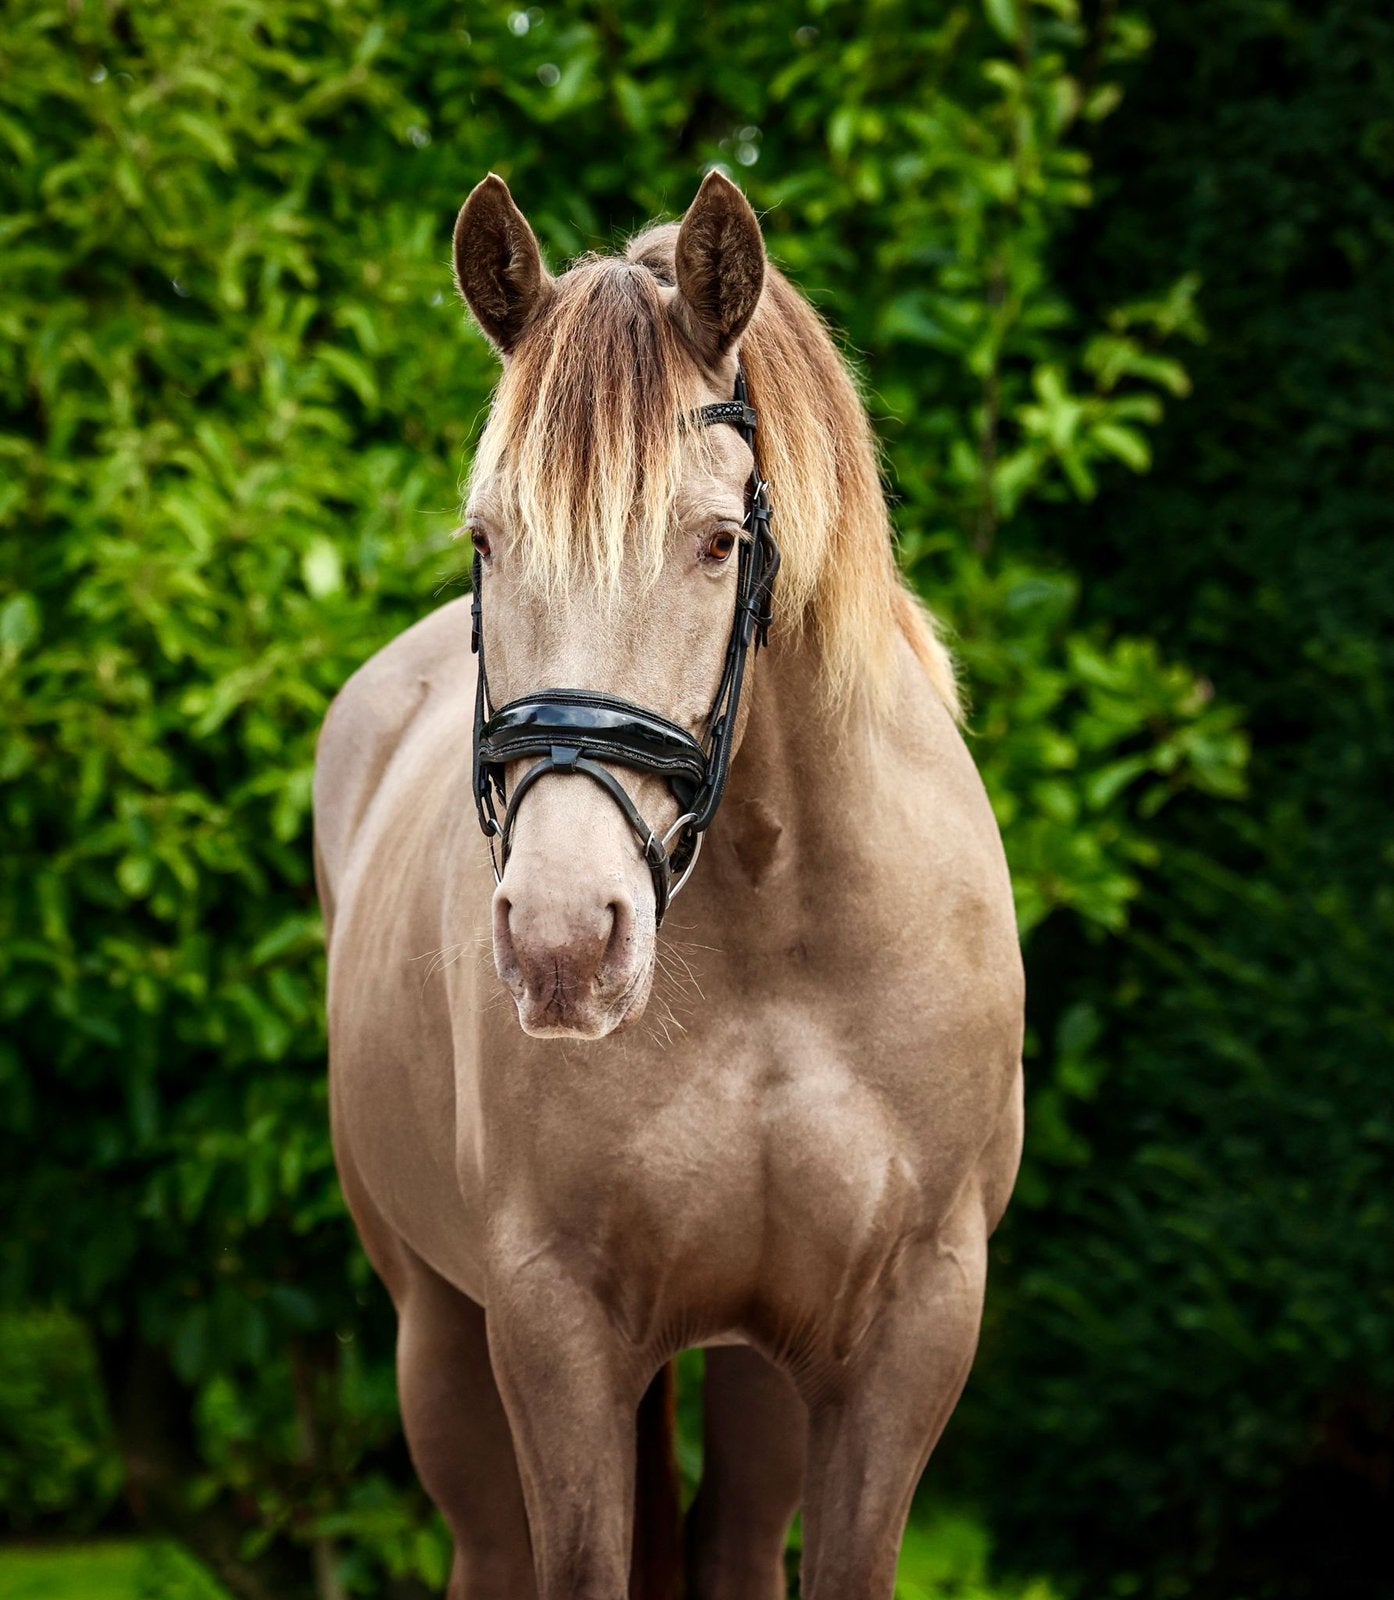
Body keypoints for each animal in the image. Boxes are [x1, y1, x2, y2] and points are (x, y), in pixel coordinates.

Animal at [314, 169, 1024, 1600]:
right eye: (488, 536)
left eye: (711, 542)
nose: (561, 942)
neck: (780, 936)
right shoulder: (553, 1322)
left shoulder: (908, 1328)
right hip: (437, 1331)